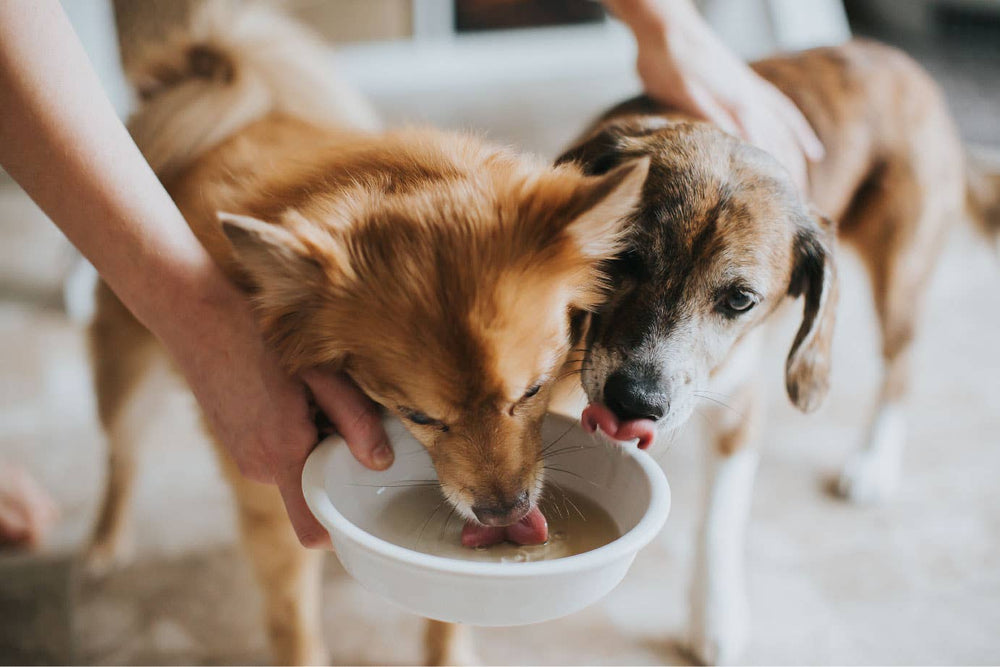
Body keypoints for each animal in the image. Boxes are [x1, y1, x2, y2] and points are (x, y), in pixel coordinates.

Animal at [88, 2, 648, 664]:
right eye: (420, 417)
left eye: (532, 392)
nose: (502, 512)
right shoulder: (272, 501)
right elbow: (294, 625)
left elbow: (446, 614)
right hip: (127, 376)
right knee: (121, 454)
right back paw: (104, 541)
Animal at [560, 39, 1000, 664]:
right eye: (622, 258)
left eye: (740, 300)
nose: (635, 402)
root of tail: (903, 64)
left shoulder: (738, 408)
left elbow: (719, 521)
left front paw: (715, 616)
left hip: (902, 276)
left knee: (901, 367)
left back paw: (873, 462)